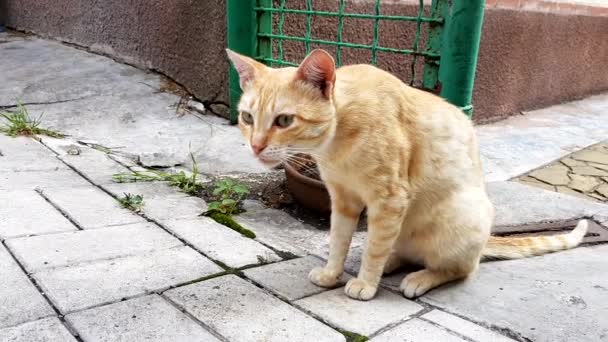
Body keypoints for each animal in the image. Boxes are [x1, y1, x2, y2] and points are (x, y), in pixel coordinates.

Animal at [226, 48, 588, 300]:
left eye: (284, 120)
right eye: (247, 117)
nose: (255, 146)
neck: (337, 141)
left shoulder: (389, 199)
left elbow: (373, 247)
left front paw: (365, 284)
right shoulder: (343, 200)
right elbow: (340, 241)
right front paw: (333, 274)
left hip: (459, 217)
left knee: (459, 268)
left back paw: (418, 278)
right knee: (400, 250)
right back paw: (391, 264)